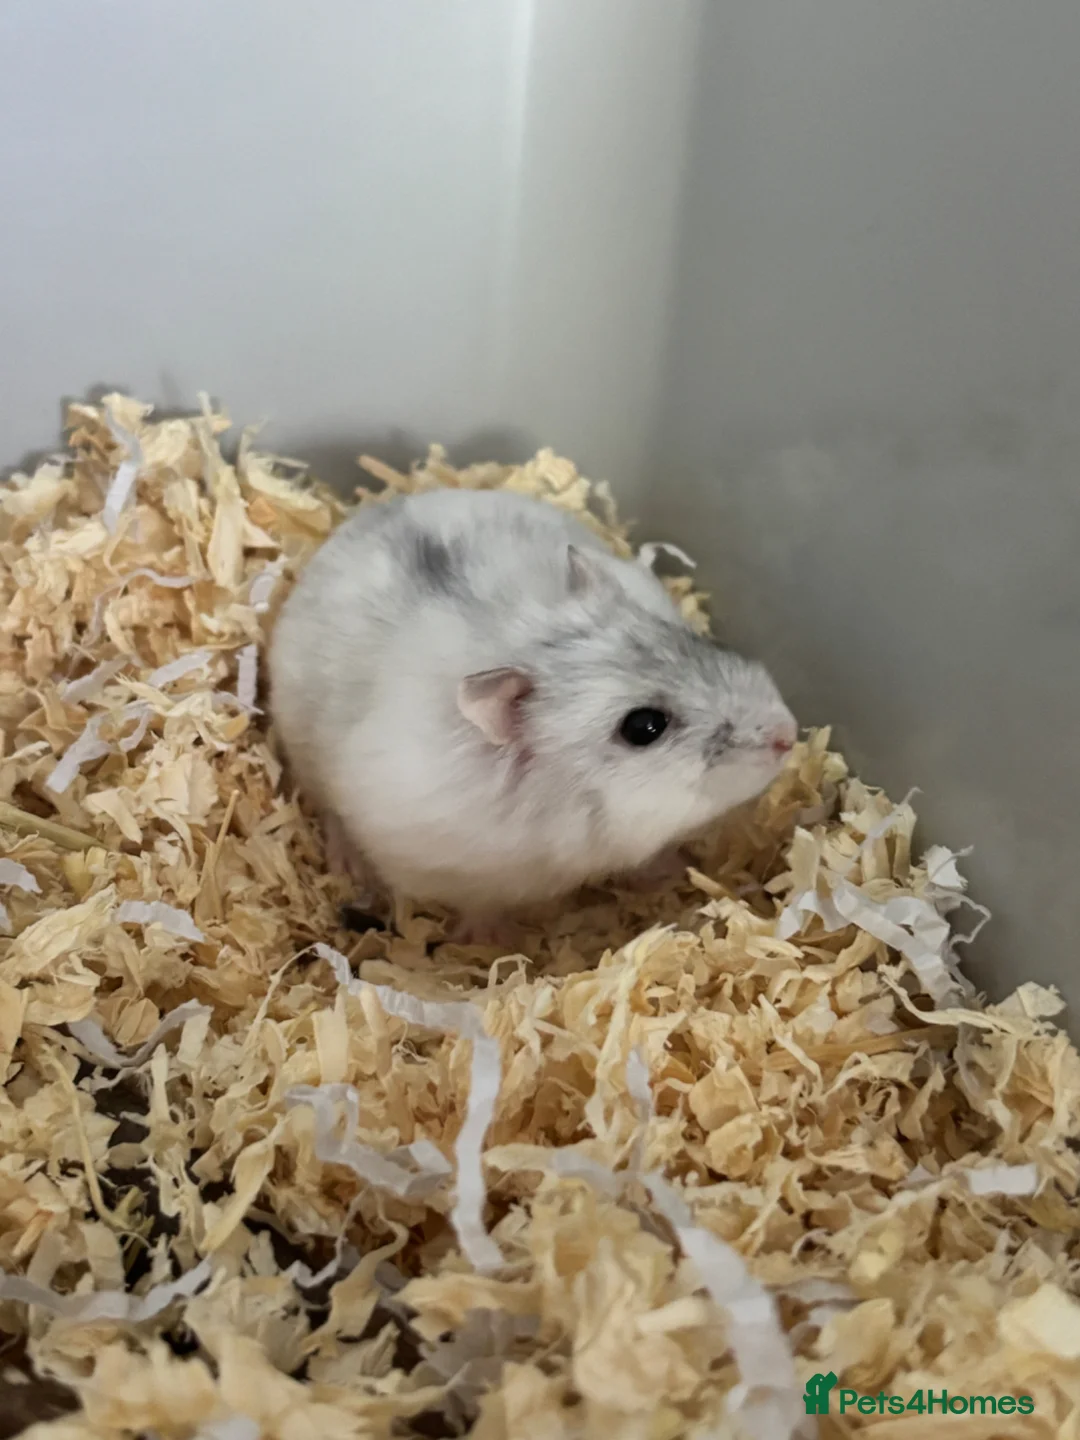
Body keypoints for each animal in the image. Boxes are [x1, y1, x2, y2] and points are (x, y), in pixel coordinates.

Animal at [268, 487, 797, 936]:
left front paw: (678, 868)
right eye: (644, 727)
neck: (571, 802)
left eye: (692, 638)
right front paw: (489, 941)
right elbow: (481, 908)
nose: (788, 735)